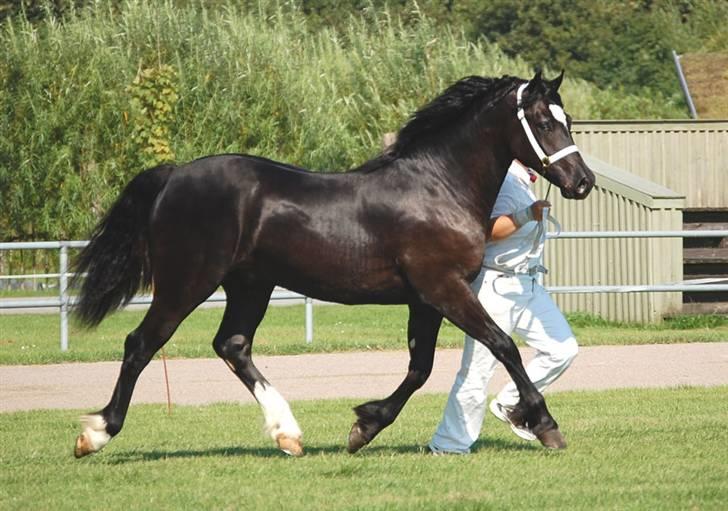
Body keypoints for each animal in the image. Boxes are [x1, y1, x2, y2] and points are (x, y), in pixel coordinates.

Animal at [72, 70, 596, 458]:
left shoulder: (424, 300)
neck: (438, 187)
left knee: (233, 345)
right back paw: (96, 433)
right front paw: (544, 422)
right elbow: (503, 345)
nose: (583, 181)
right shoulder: (443, 288)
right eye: (542, 121)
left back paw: (287, 434)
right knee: (142, 343)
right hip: (187, 282)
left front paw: (365, 425)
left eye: (567, 118)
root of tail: (174, 175)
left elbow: (420, 368)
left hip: (250, 284)